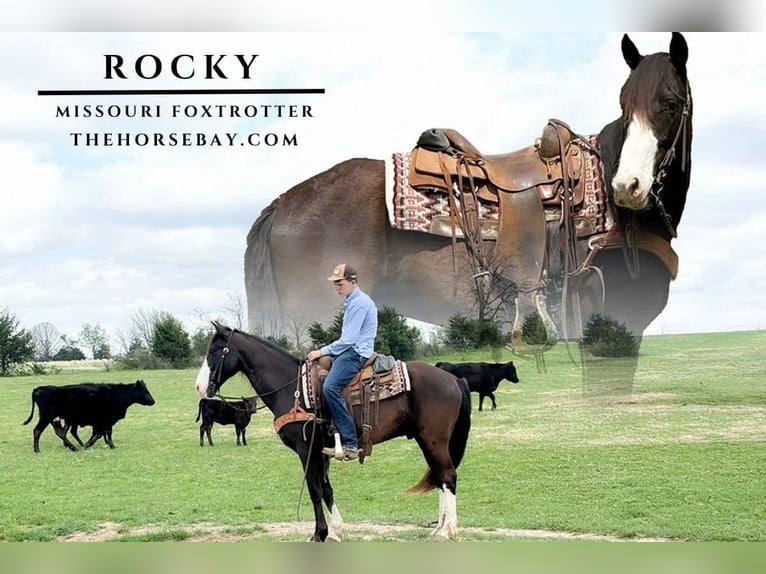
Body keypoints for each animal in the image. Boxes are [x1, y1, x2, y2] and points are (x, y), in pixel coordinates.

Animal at [194, 321, 472, 541]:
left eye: (216, 351)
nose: (199, 387)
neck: (293, 390)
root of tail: (454, 379)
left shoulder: (306, 449)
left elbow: (314, 489)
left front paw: (319, 534)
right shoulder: (321, 451)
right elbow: (326, 489)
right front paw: (336, 531)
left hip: (434, 440)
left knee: (448, 476)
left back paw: (447, 531)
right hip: (427, 441)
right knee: (439, 478)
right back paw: (438, 529)